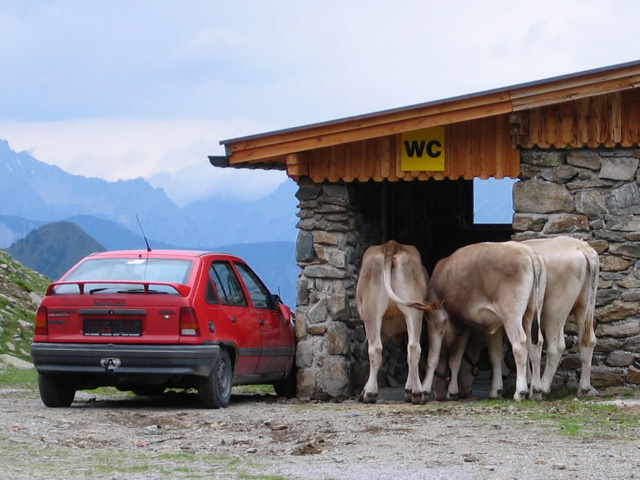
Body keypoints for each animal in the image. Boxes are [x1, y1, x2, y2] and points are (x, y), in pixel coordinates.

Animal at [356, 242, 436, 404]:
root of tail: (391, 245)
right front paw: (409, 390)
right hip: (413, 311)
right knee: (413, 347)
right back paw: (417, 393)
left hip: (371, 313)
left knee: (375, 349)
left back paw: (370, 393)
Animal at [420, 242, 544, 404]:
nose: (438, 395)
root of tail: (527, 251)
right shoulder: (472, 328)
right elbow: (470, 359)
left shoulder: (436, 320)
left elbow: (433, 358)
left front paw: (424, 390)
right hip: (531, 312)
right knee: (536, 343)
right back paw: (536, 390)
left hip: (512, 315)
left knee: (520, 345)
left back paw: (520, 392)